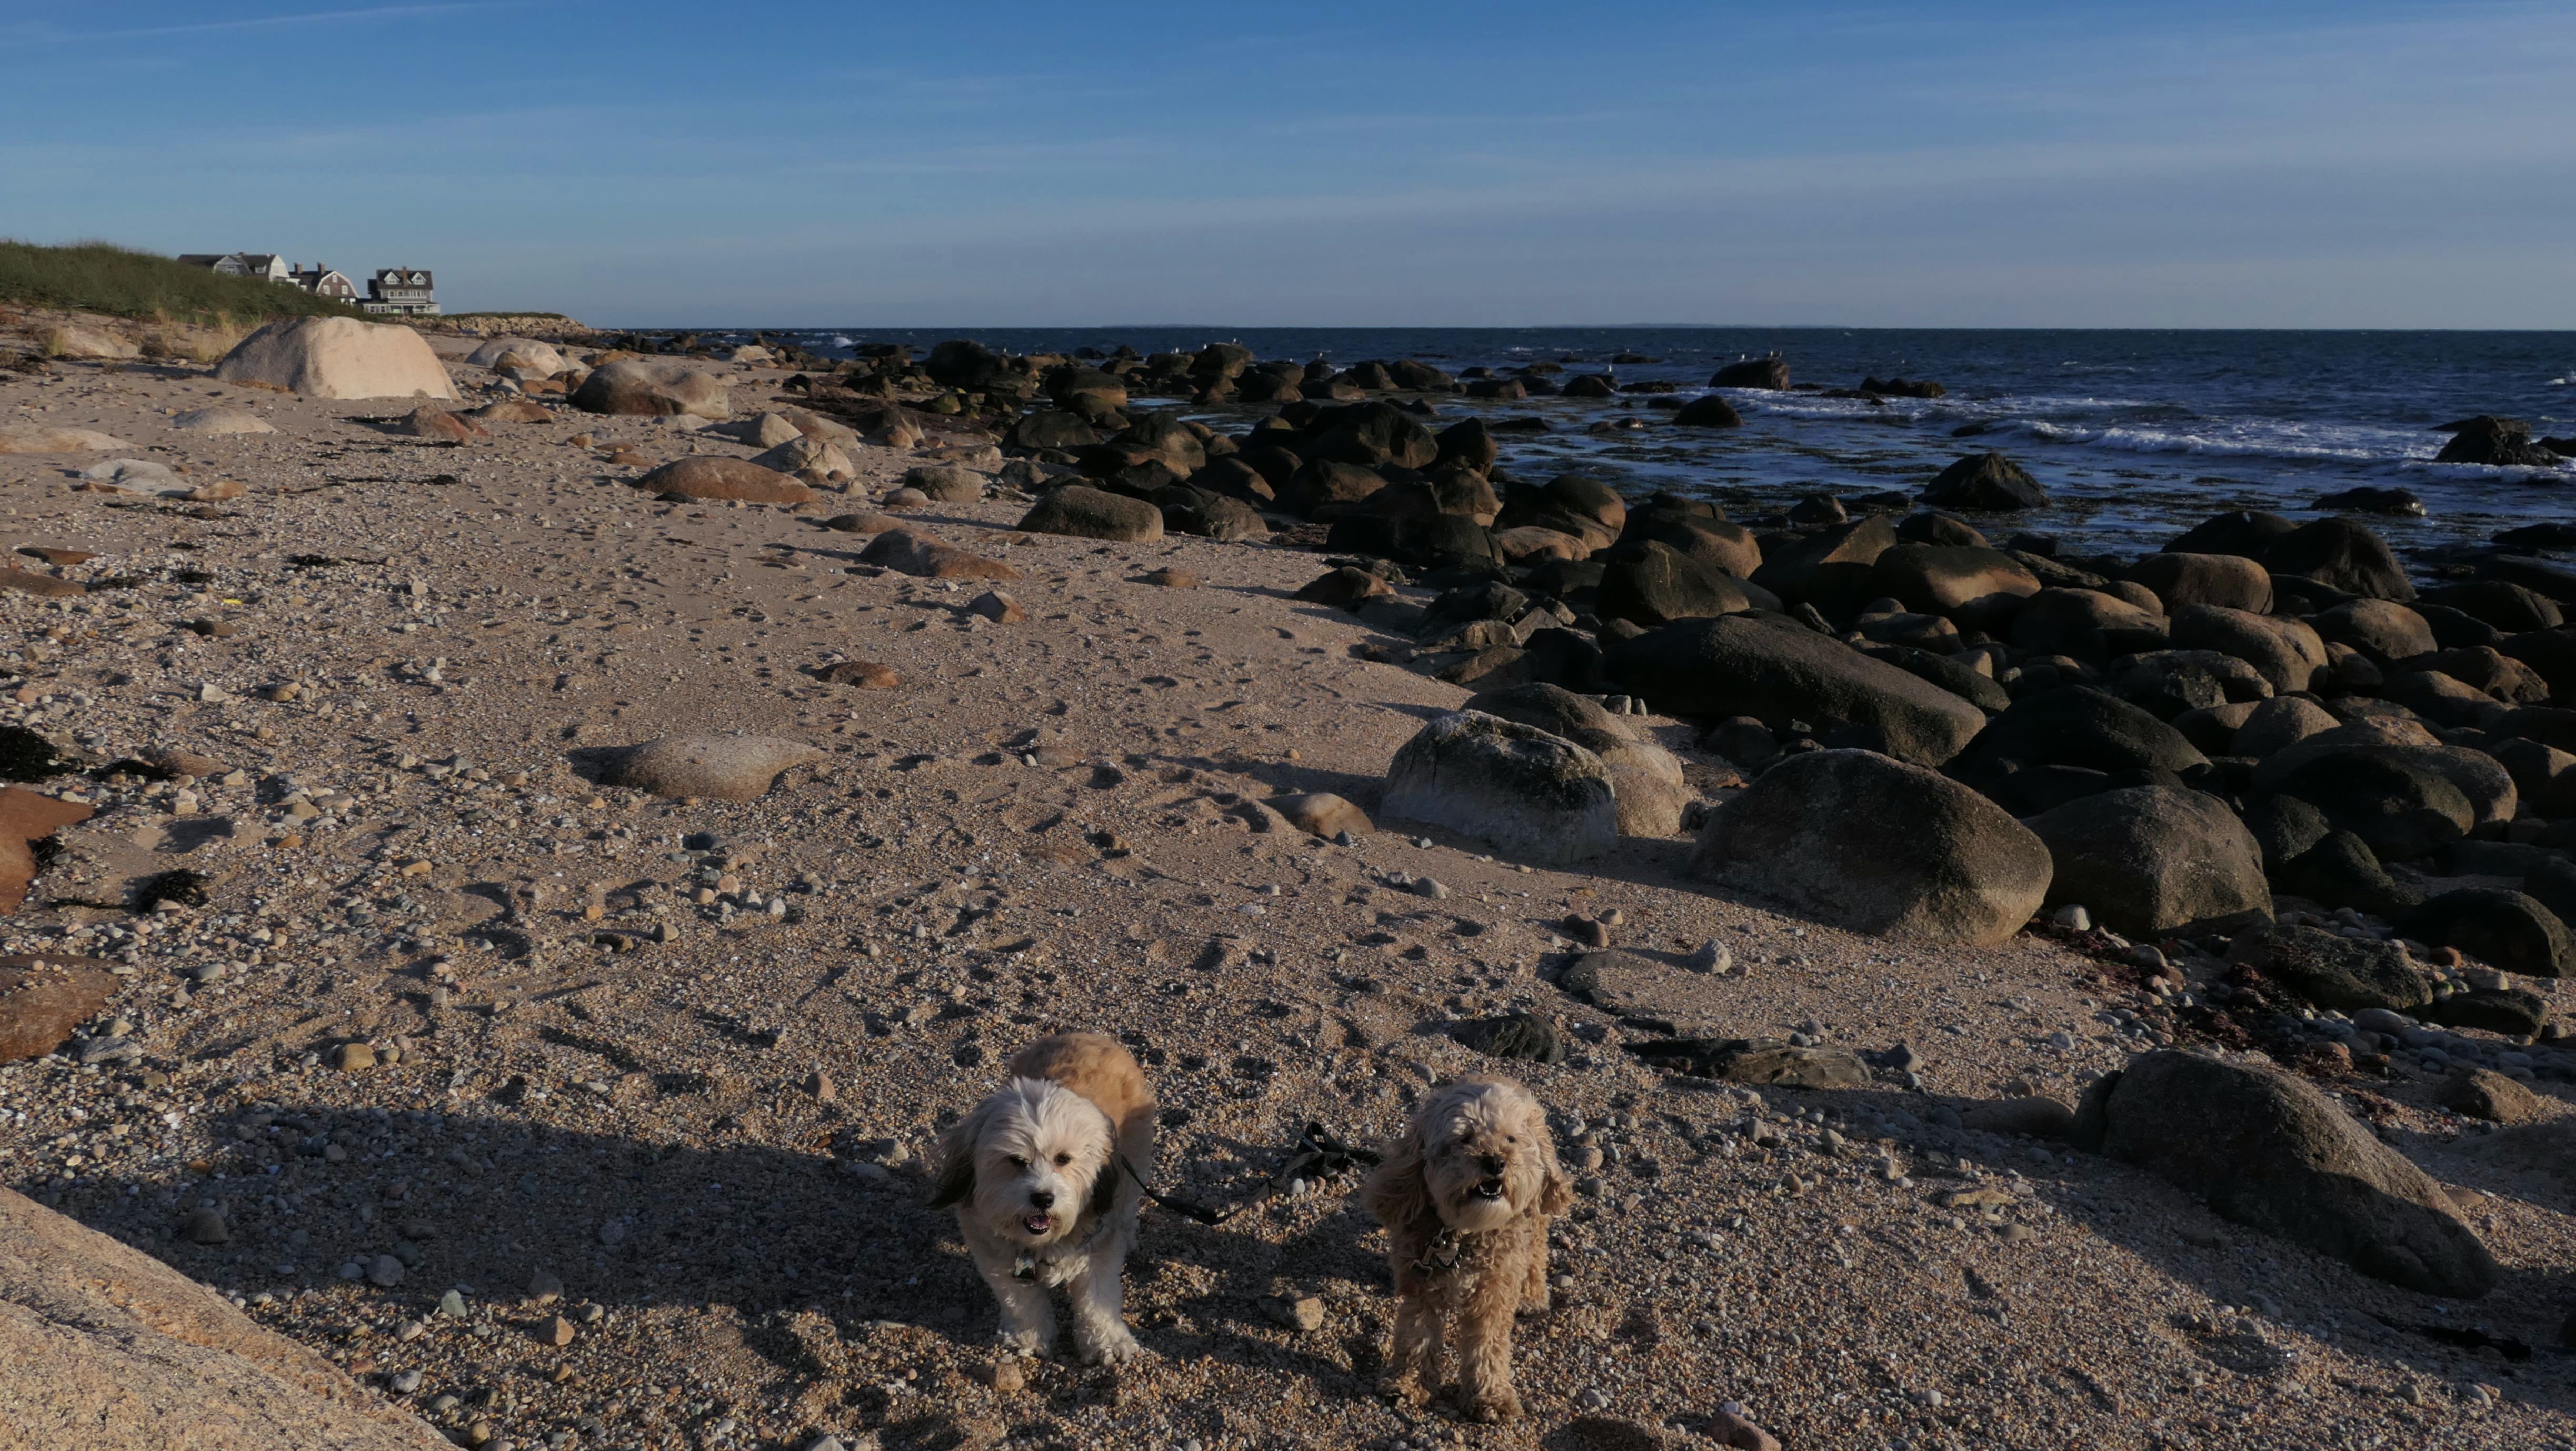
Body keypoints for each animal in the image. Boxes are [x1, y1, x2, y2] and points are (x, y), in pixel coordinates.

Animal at [931, 1031, 1156, 1363]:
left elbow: (1097, 1302)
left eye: (1063, 1159)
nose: (1043, 1198)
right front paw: (1028, 1338)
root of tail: (1086, 1034)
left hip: (1133, 1168)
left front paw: (1108, 1344)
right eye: (1016, 1161)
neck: (1042, 1243)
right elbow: (1021, 1303)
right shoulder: (999, 1261)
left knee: (1127, 1207)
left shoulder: (1098, 1250)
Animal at [1361, 1075, 1572, 1422]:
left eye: (1510, 1138)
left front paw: (1490, 1397)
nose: (1495, 1161)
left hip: (1536, 1214)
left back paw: (1532, 1296)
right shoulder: (1422, 1282)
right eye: (1465, 1138)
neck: (1463, 1234)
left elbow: (1487, 1345)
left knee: (1536, 1254)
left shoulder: (1494, 1293)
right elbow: (1417, 1335)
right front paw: (1409, 1383)